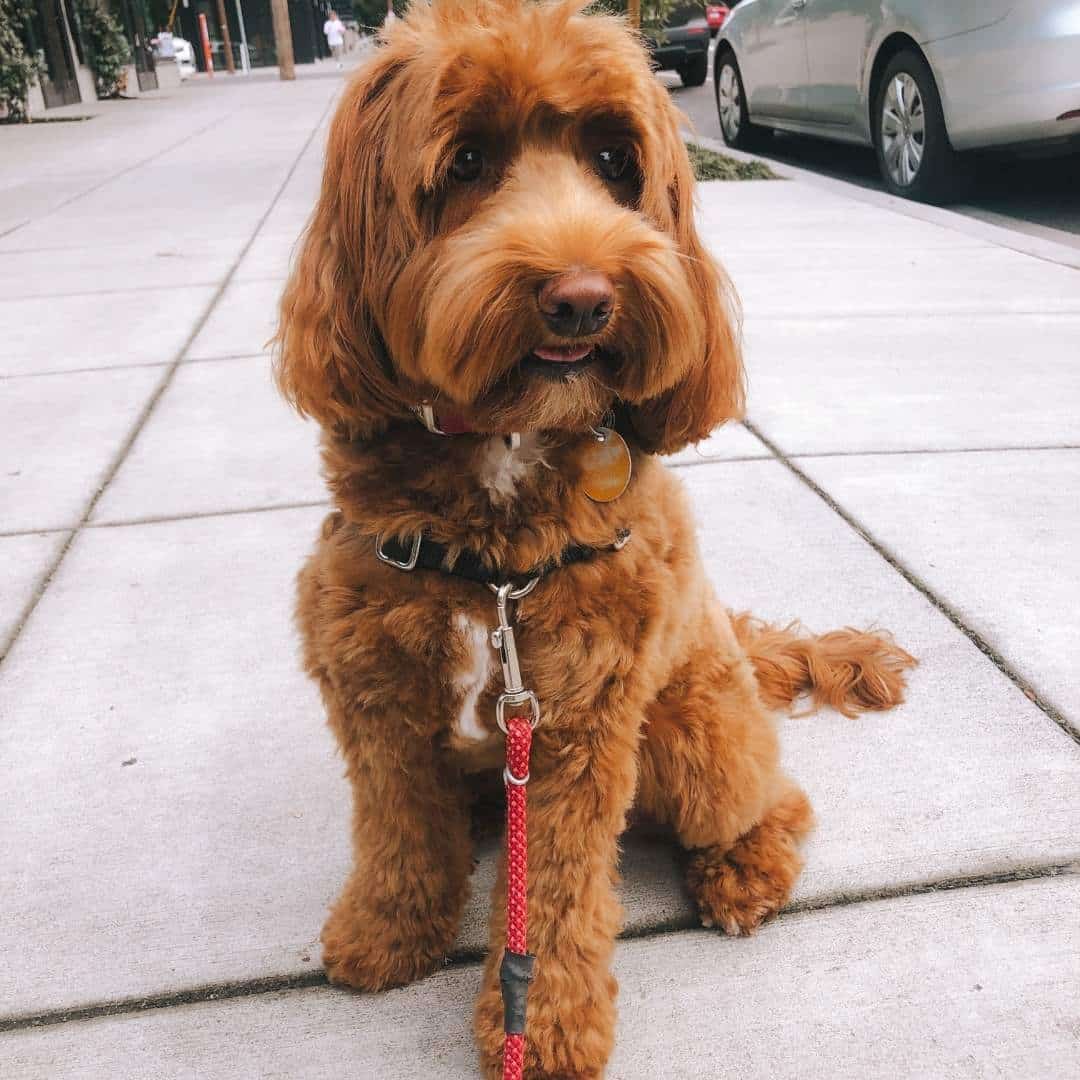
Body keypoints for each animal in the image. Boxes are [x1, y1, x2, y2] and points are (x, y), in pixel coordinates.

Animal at [274, 4, 915, 1075]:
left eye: (617, 160)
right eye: (467, 161)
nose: (582, 297)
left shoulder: (581, 716)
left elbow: (561, 888)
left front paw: (544, 1027)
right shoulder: (377, 691)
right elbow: (399, 829)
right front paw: (389, 931)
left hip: (699, 741)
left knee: (775, 801)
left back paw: (742, 873)